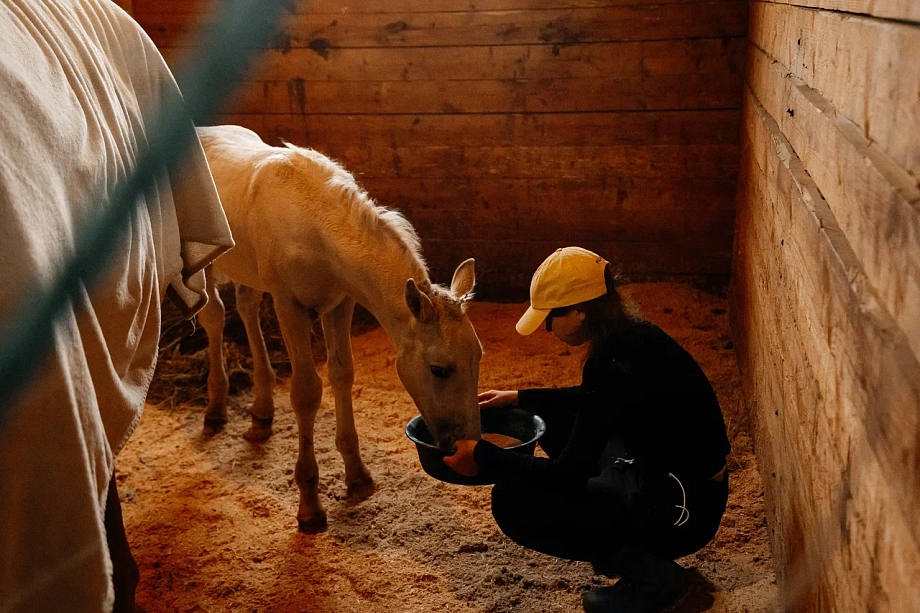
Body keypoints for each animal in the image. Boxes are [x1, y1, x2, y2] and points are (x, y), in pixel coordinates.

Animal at [194, 125, 482, 532]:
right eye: (439, 369)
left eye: (478, 358)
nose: (467, 445)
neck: (315, 226)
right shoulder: (289, 306)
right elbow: (306, 392)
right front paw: (310, 507)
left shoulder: (340, 303)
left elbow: (342, 374)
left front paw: (357, 475)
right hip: (206, 259)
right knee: (215, 316)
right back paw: (216, 409)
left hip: (247, 267)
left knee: (246, 306)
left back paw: (262, 413)